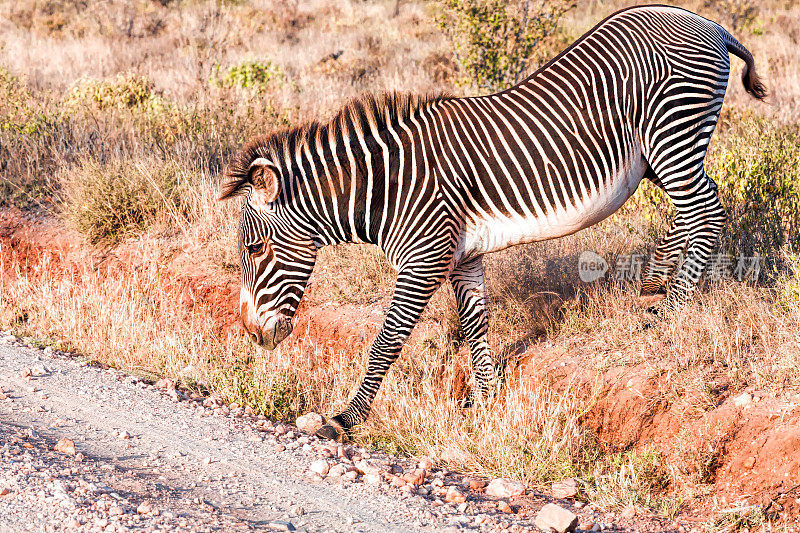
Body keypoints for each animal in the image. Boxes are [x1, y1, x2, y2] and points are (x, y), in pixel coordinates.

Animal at [219, 5, 764, 440]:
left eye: (255, 250)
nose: (251, 334)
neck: (387, 189)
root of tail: (707, 22)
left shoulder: (426, 257)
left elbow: (387, 342)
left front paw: (346, 419)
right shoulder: (463, 256)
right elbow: (476, 328)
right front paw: (484, 408)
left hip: (673, 135)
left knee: (707, 207)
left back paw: (672, 308)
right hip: (654, 156)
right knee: (688, 210)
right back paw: (654, 281)